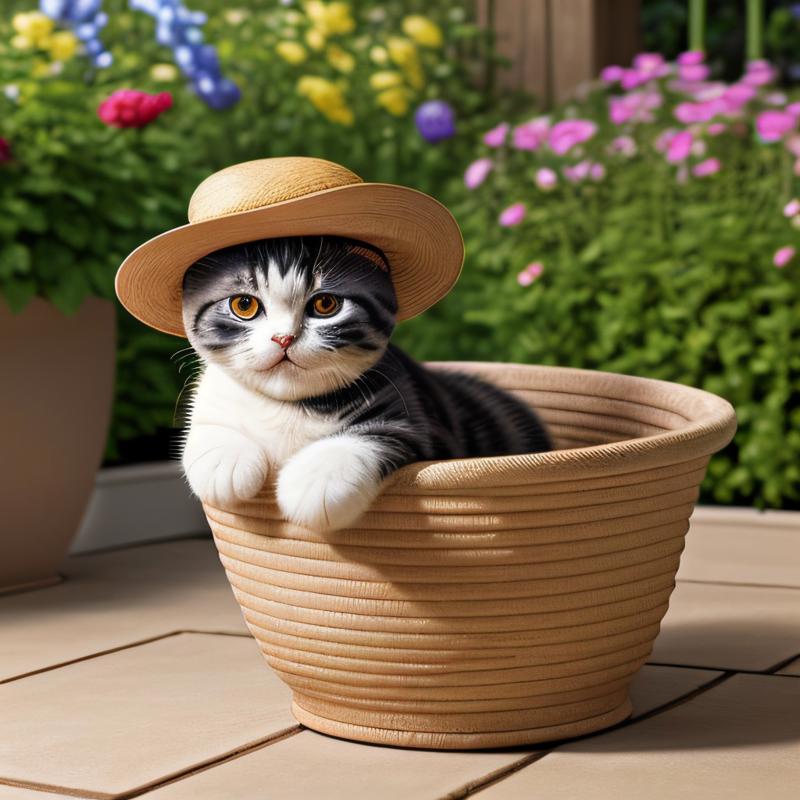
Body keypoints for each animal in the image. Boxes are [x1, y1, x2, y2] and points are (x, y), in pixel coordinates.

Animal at [180, 234, 552, 532]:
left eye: (325, 304)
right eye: (244, 304)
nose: (284, 338)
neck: (291, 404)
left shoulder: (414, 412)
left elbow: (374, 434)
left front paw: (315, 479)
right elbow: (207, 426)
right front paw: (222, 461)